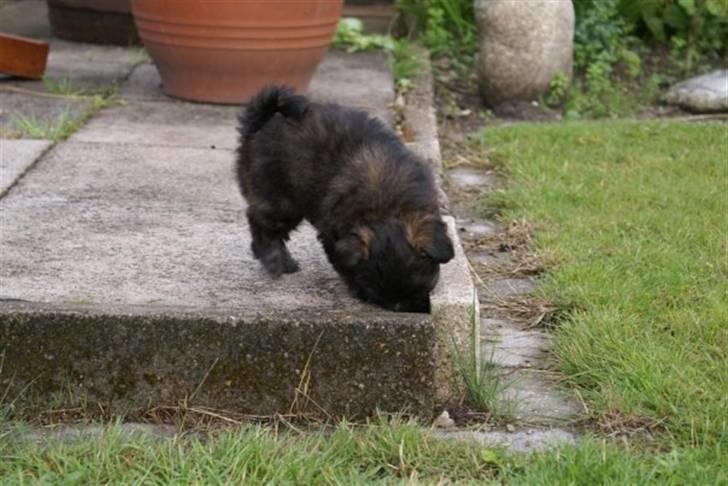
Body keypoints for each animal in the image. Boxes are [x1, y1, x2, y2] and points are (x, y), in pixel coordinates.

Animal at [236, 85, 452, 314]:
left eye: (422, 285)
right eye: (375, 291)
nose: (399, 308)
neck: (387, 207)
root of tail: (259, 124)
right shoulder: (333, 234)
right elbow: (344, 264)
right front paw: (355, 288)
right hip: (281, 202)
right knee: (261, 224)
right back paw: (275, 260)